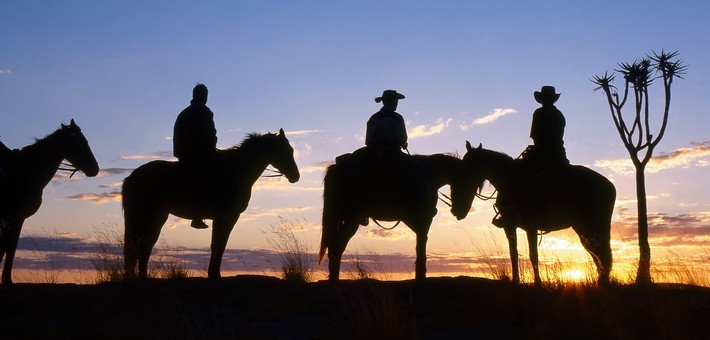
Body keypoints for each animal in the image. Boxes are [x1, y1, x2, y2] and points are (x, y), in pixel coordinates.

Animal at [0, 119, 100, 284]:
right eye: (81, 143)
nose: (95, 169)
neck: (26, 171)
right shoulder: (17, 217)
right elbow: (10, 246)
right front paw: (7, 280)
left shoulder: (11, 219)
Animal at [123, 130, 300, 278]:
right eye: (285, 151)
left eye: (291, 150)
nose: (295, 176)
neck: (237, 170)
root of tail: (131, 177)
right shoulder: (227, 216)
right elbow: (218, 244)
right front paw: (214, 274)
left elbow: (218, 245)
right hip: (153, 216)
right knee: (142, 247)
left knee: (140, 247)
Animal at [320, 153, 486, 280]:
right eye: (470, 185)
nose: (460, 212)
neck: (429, 175)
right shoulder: (424, 220)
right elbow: (421, 245)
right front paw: (420, 275)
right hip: (352, 217)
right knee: (337, 244)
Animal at [462, 142, 616, 286]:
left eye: (469, 166)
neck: (511, 181)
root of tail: (609, 185)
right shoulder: (510, 226)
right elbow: (514, 254)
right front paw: (516, 280)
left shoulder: (531, 227)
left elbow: (533, 255)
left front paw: (538, 282)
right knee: (597, 251)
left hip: (589, 225)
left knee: (600, 251)